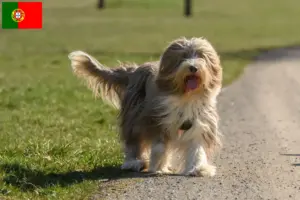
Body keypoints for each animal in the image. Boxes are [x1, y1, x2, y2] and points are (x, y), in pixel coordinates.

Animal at [68, 37, 223, 177]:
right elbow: (160, 146)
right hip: (134, 115)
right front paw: (159, 167)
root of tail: (134, 70)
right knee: (133, 141)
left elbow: (196, 147)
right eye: (183, 57)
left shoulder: (199, 122)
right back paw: (133, 162)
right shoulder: (156, 119)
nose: (193, 67)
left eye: (201, 56)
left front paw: (198, 168)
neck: (186, 97)